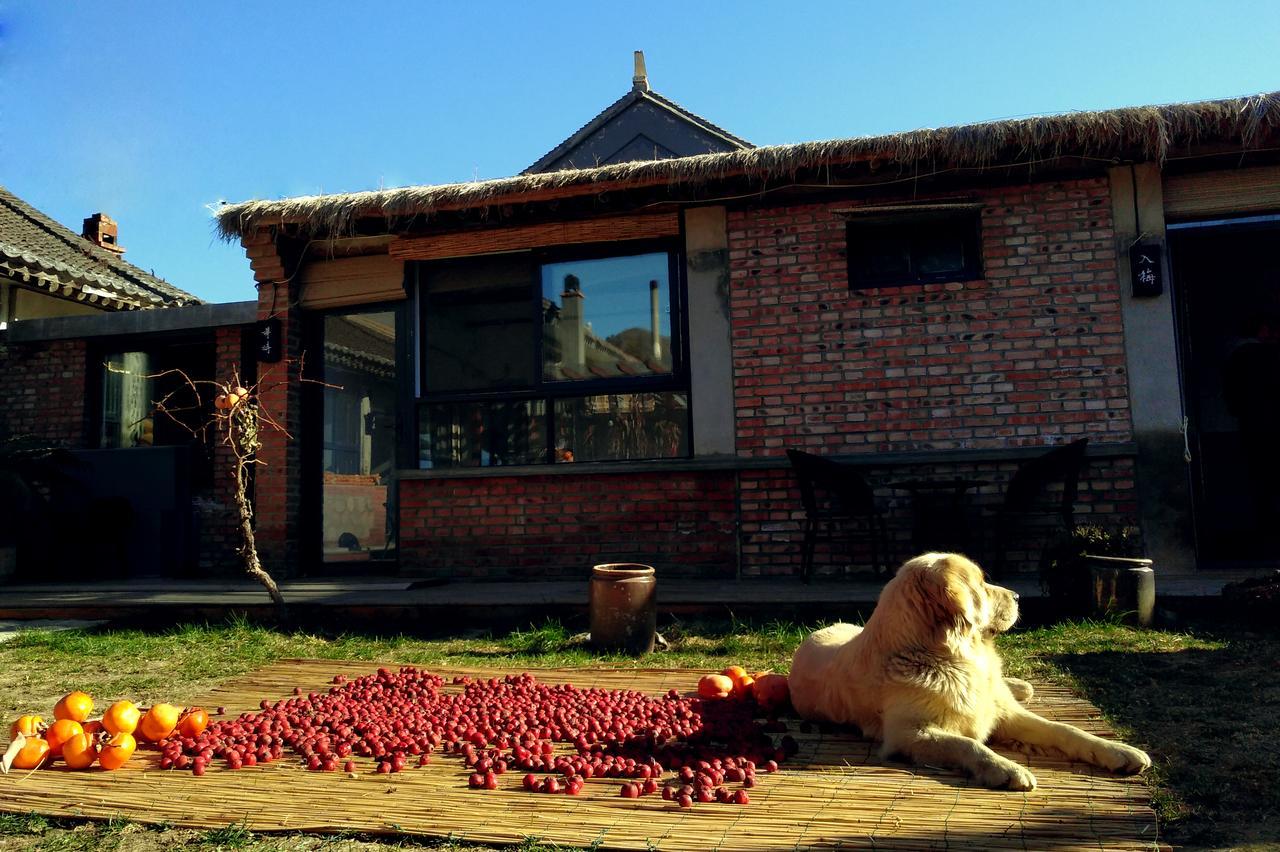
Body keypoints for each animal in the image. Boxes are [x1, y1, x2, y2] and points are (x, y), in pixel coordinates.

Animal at [788, 550, 1152, 788]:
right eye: (981, 584)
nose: (1018, 596)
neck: (951, 657)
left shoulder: (1005, 713)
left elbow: (1065, 729)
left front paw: (1119, 752)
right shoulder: (907, 734)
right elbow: (968, 744)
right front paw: (1006, 768)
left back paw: (1020, 686)